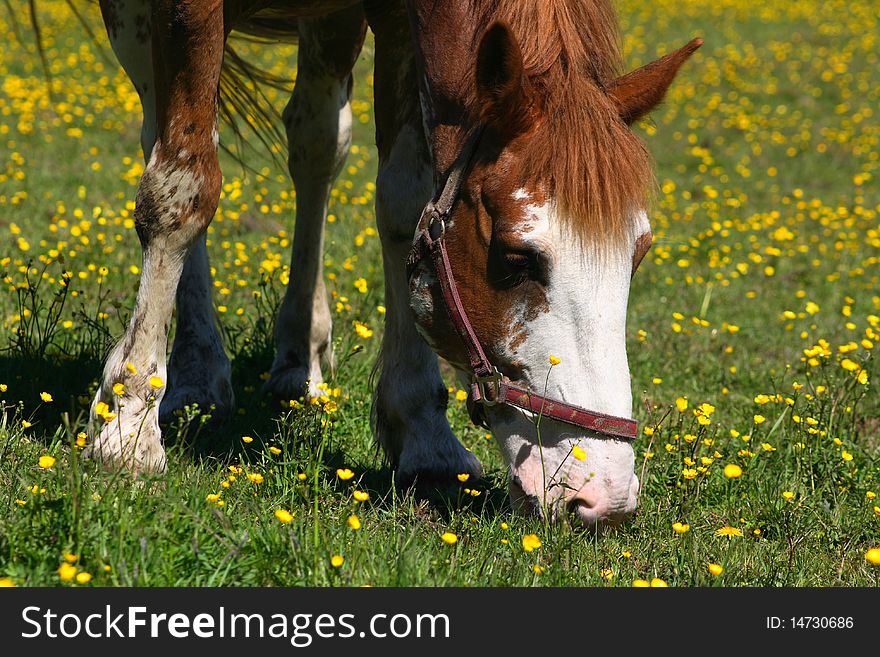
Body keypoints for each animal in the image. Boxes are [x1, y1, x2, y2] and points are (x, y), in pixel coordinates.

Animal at [82, 0, 700, 532]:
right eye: (515, 257)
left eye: (637, 255)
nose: (605, 496)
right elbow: (181, 188)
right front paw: (128, 422)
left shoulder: (398, 19)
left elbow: (406, 202)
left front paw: (424, 431)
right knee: (168, 136)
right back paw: (196, 371)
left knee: (315, 142)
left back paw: (299, 357)